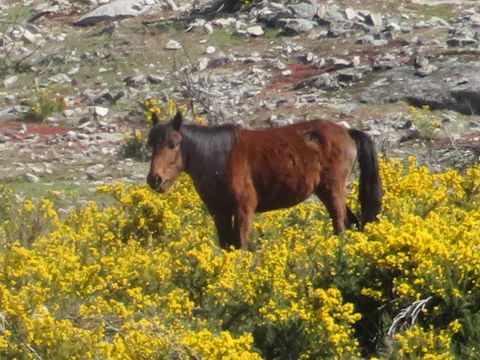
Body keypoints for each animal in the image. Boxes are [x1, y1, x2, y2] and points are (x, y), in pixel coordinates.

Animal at [146, 112, 382, 250]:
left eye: (173, 144)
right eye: (151, 144)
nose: (155, 179)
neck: (220, 157)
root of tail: (347, 132)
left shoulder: (244, 208)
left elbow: (241, 245)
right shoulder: (219, 212)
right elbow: (227, 245)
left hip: (333, 191)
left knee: (341, 225)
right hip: (327, 192)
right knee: (352, 223)